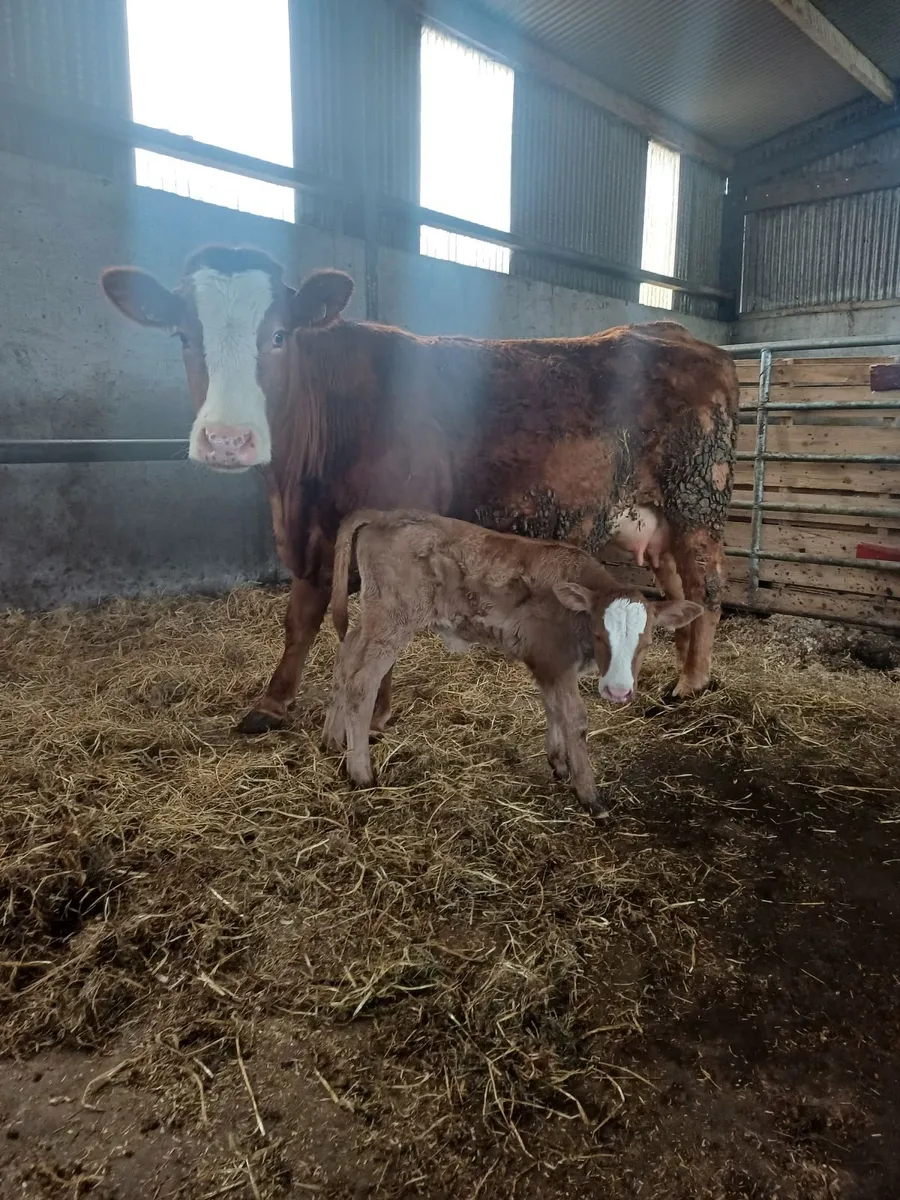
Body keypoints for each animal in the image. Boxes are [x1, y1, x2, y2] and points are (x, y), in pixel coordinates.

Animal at [99, 246, 739, 737]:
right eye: (184, 335)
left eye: (279, 334)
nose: (228, 439)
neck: (296, 490)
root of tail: (684, 335)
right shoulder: (312, 538)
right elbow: (299, 619)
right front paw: (271, 703)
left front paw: (374, 711)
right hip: (657, 518)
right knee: (677, 591)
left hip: (697, 500)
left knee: (706, 590)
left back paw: (690, 682)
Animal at [322, 509, 703, 815]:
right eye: (598, 633)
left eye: (648, 640)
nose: (618, 691)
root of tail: (385, 513)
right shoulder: (555, 660)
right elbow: (574, 719)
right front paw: (590, 795)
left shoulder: (548, 666)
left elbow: (553, 709)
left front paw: (559, 763)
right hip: (394, 619)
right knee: (362, 682)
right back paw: (361, 773)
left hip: (374, 617)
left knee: (344, 659)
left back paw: (332, 741)